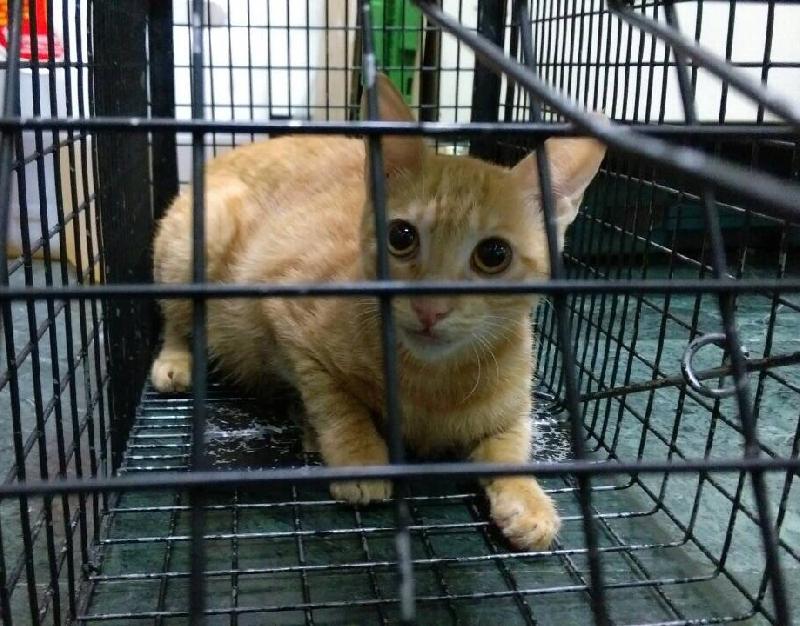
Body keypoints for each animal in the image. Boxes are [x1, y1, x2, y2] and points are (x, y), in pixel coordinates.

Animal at [151, 73, 605, 550]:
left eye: (494, 254)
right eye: (401, 236)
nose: (429, 307)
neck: (433, 381)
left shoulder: (513, 403)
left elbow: (511, 444)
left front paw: (527, 499)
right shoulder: (286, 320)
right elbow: (336, 403)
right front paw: (361, 456)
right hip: (194, 246)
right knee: (175, 320)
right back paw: (179, 362)